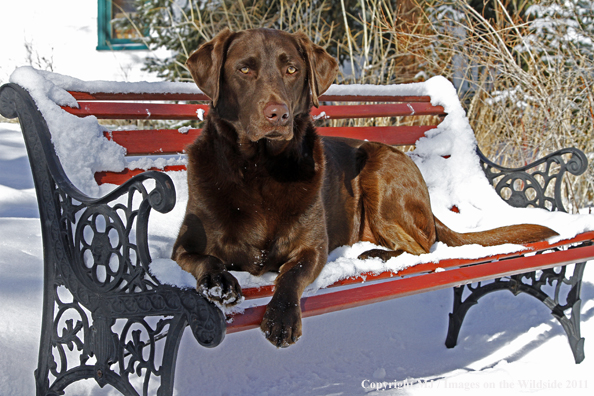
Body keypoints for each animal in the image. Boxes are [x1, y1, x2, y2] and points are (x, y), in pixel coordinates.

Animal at [171, 28, 556, 346]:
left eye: (292, 70)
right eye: (244, 70)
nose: (277, 114)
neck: (261, 169)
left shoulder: (314, 248)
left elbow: (292, 274)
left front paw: (281, 319)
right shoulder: (183, 246)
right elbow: (205, 258)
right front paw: (219, 283)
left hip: (380, 173)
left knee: (423, 246)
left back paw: (376, 255)